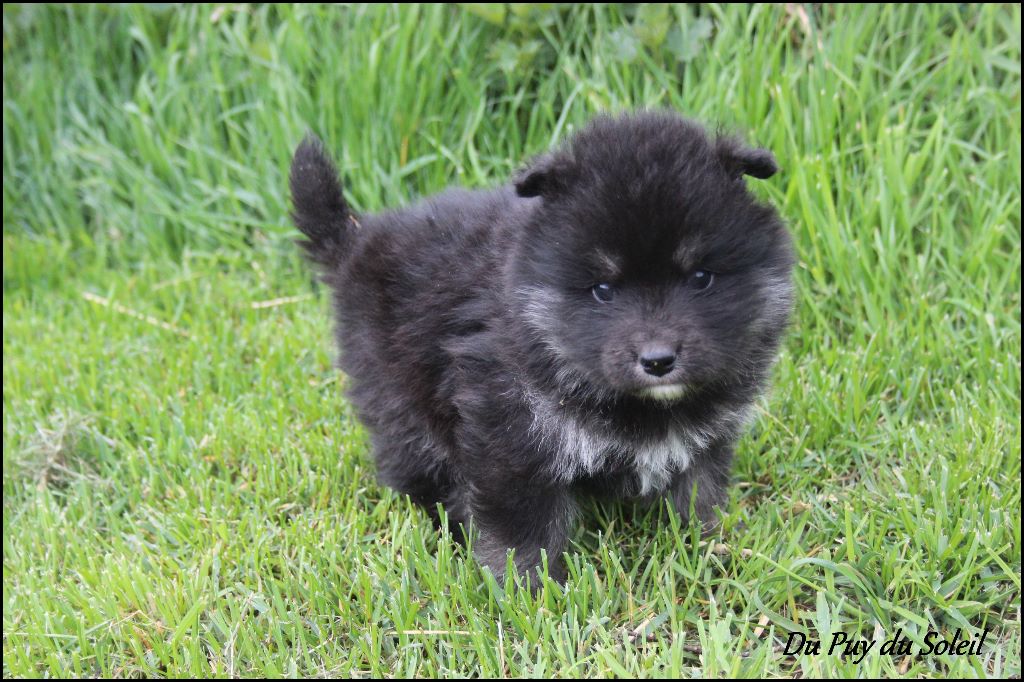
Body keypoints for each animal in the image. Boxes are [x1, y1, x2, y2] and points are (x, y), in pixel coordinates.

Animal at [289, 111, 794, 586]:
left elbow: (700, 494)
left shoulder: (705, 438)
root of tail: (357, 238)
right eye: (603, 289)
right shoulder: (508, 432)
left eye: (701, 278)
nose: (658, 360)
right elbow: (521, 529)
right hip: (399, 397)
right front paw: (529, 592)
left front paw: (715, 547)